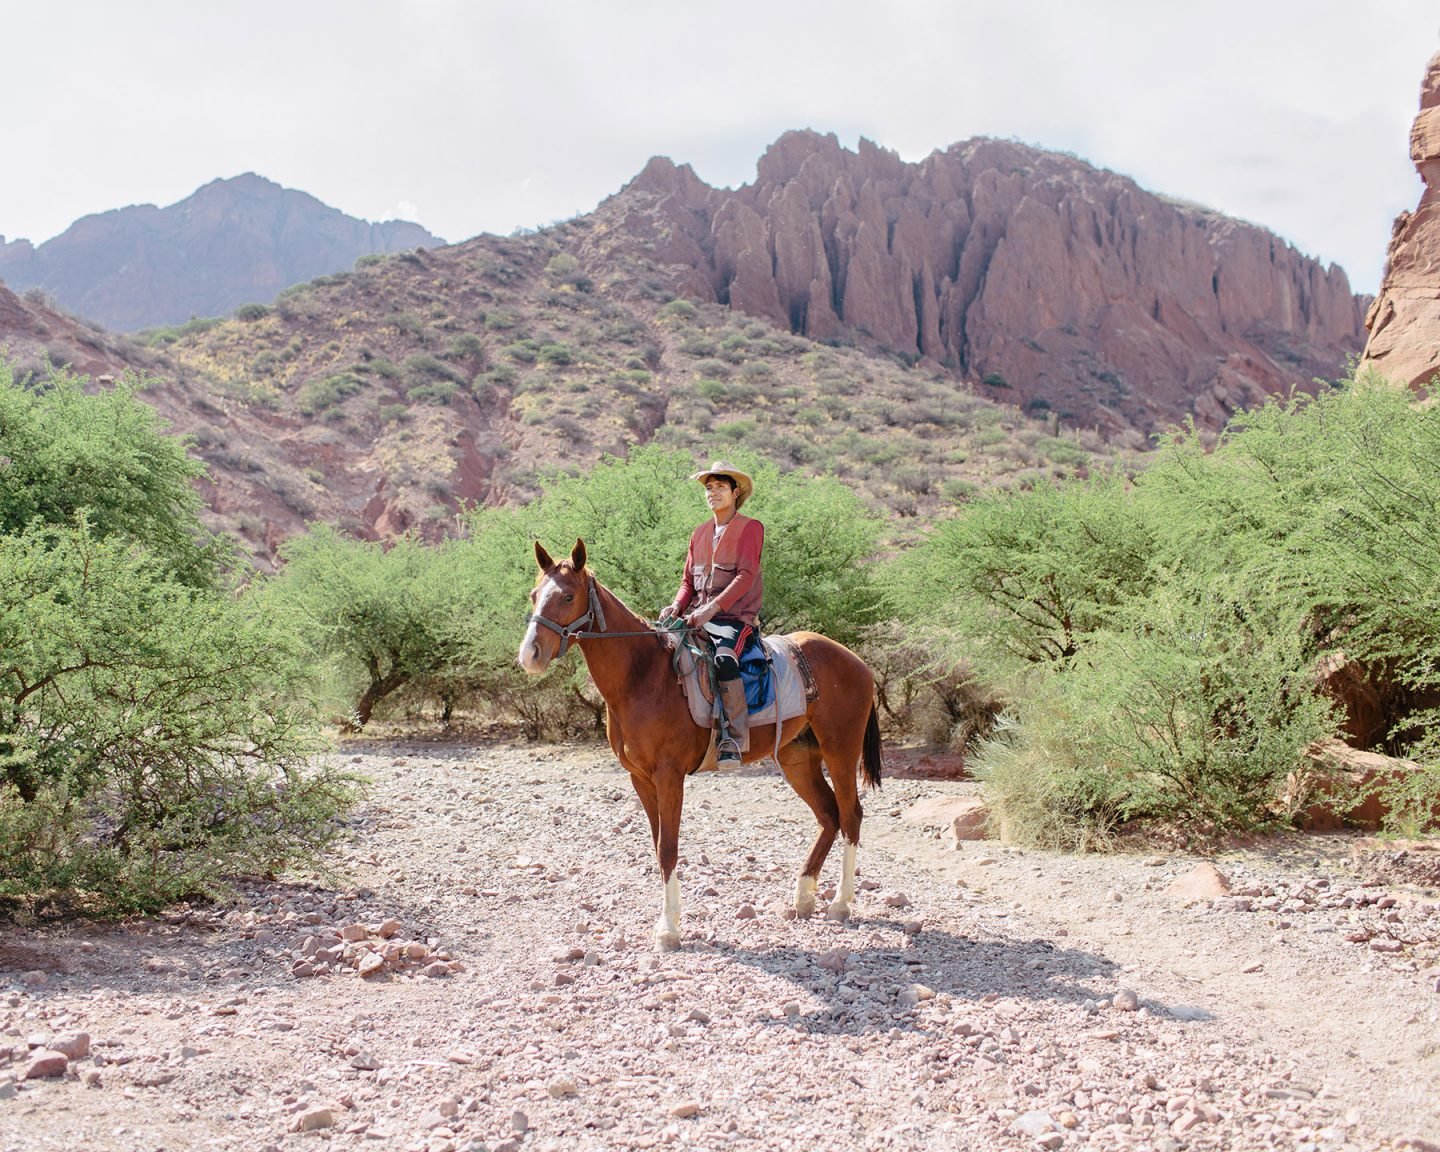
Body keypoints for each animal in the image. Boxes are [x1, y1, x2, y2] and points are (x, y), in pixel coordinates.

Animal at [518, 541, 875, 956]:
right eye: (534, 595)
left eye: (567, 596)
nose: (530, 654)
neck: (643, 676)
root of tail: (855, 661)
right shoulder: (640, 778)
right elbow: (658, 845)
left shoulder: (669, 776)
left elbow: (668, 849)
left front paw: (668, 929)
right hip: (797, 759)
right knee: (829, 816)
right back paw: (803, 897)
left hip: (840, 752)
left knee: (850, 815)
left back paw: (840, 904)